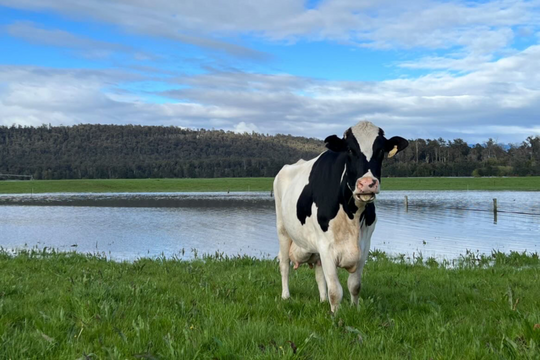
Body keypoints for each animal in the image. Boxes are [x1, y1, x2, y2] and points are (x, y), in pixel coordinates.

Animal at [274, 121, 410, 312]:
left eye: (381, 151)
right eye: (350, 150)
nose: (366, 184)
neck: (352, 215)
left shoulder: (364, 246)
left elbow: (354, 285)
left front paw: (354, 309)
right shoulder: (326, 247)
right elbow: (335, 290)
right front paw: (336, 315)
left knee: (318, 272)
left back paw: (322, 300)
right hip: (283, 230)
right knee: (284, 264)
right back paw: (286, 296)